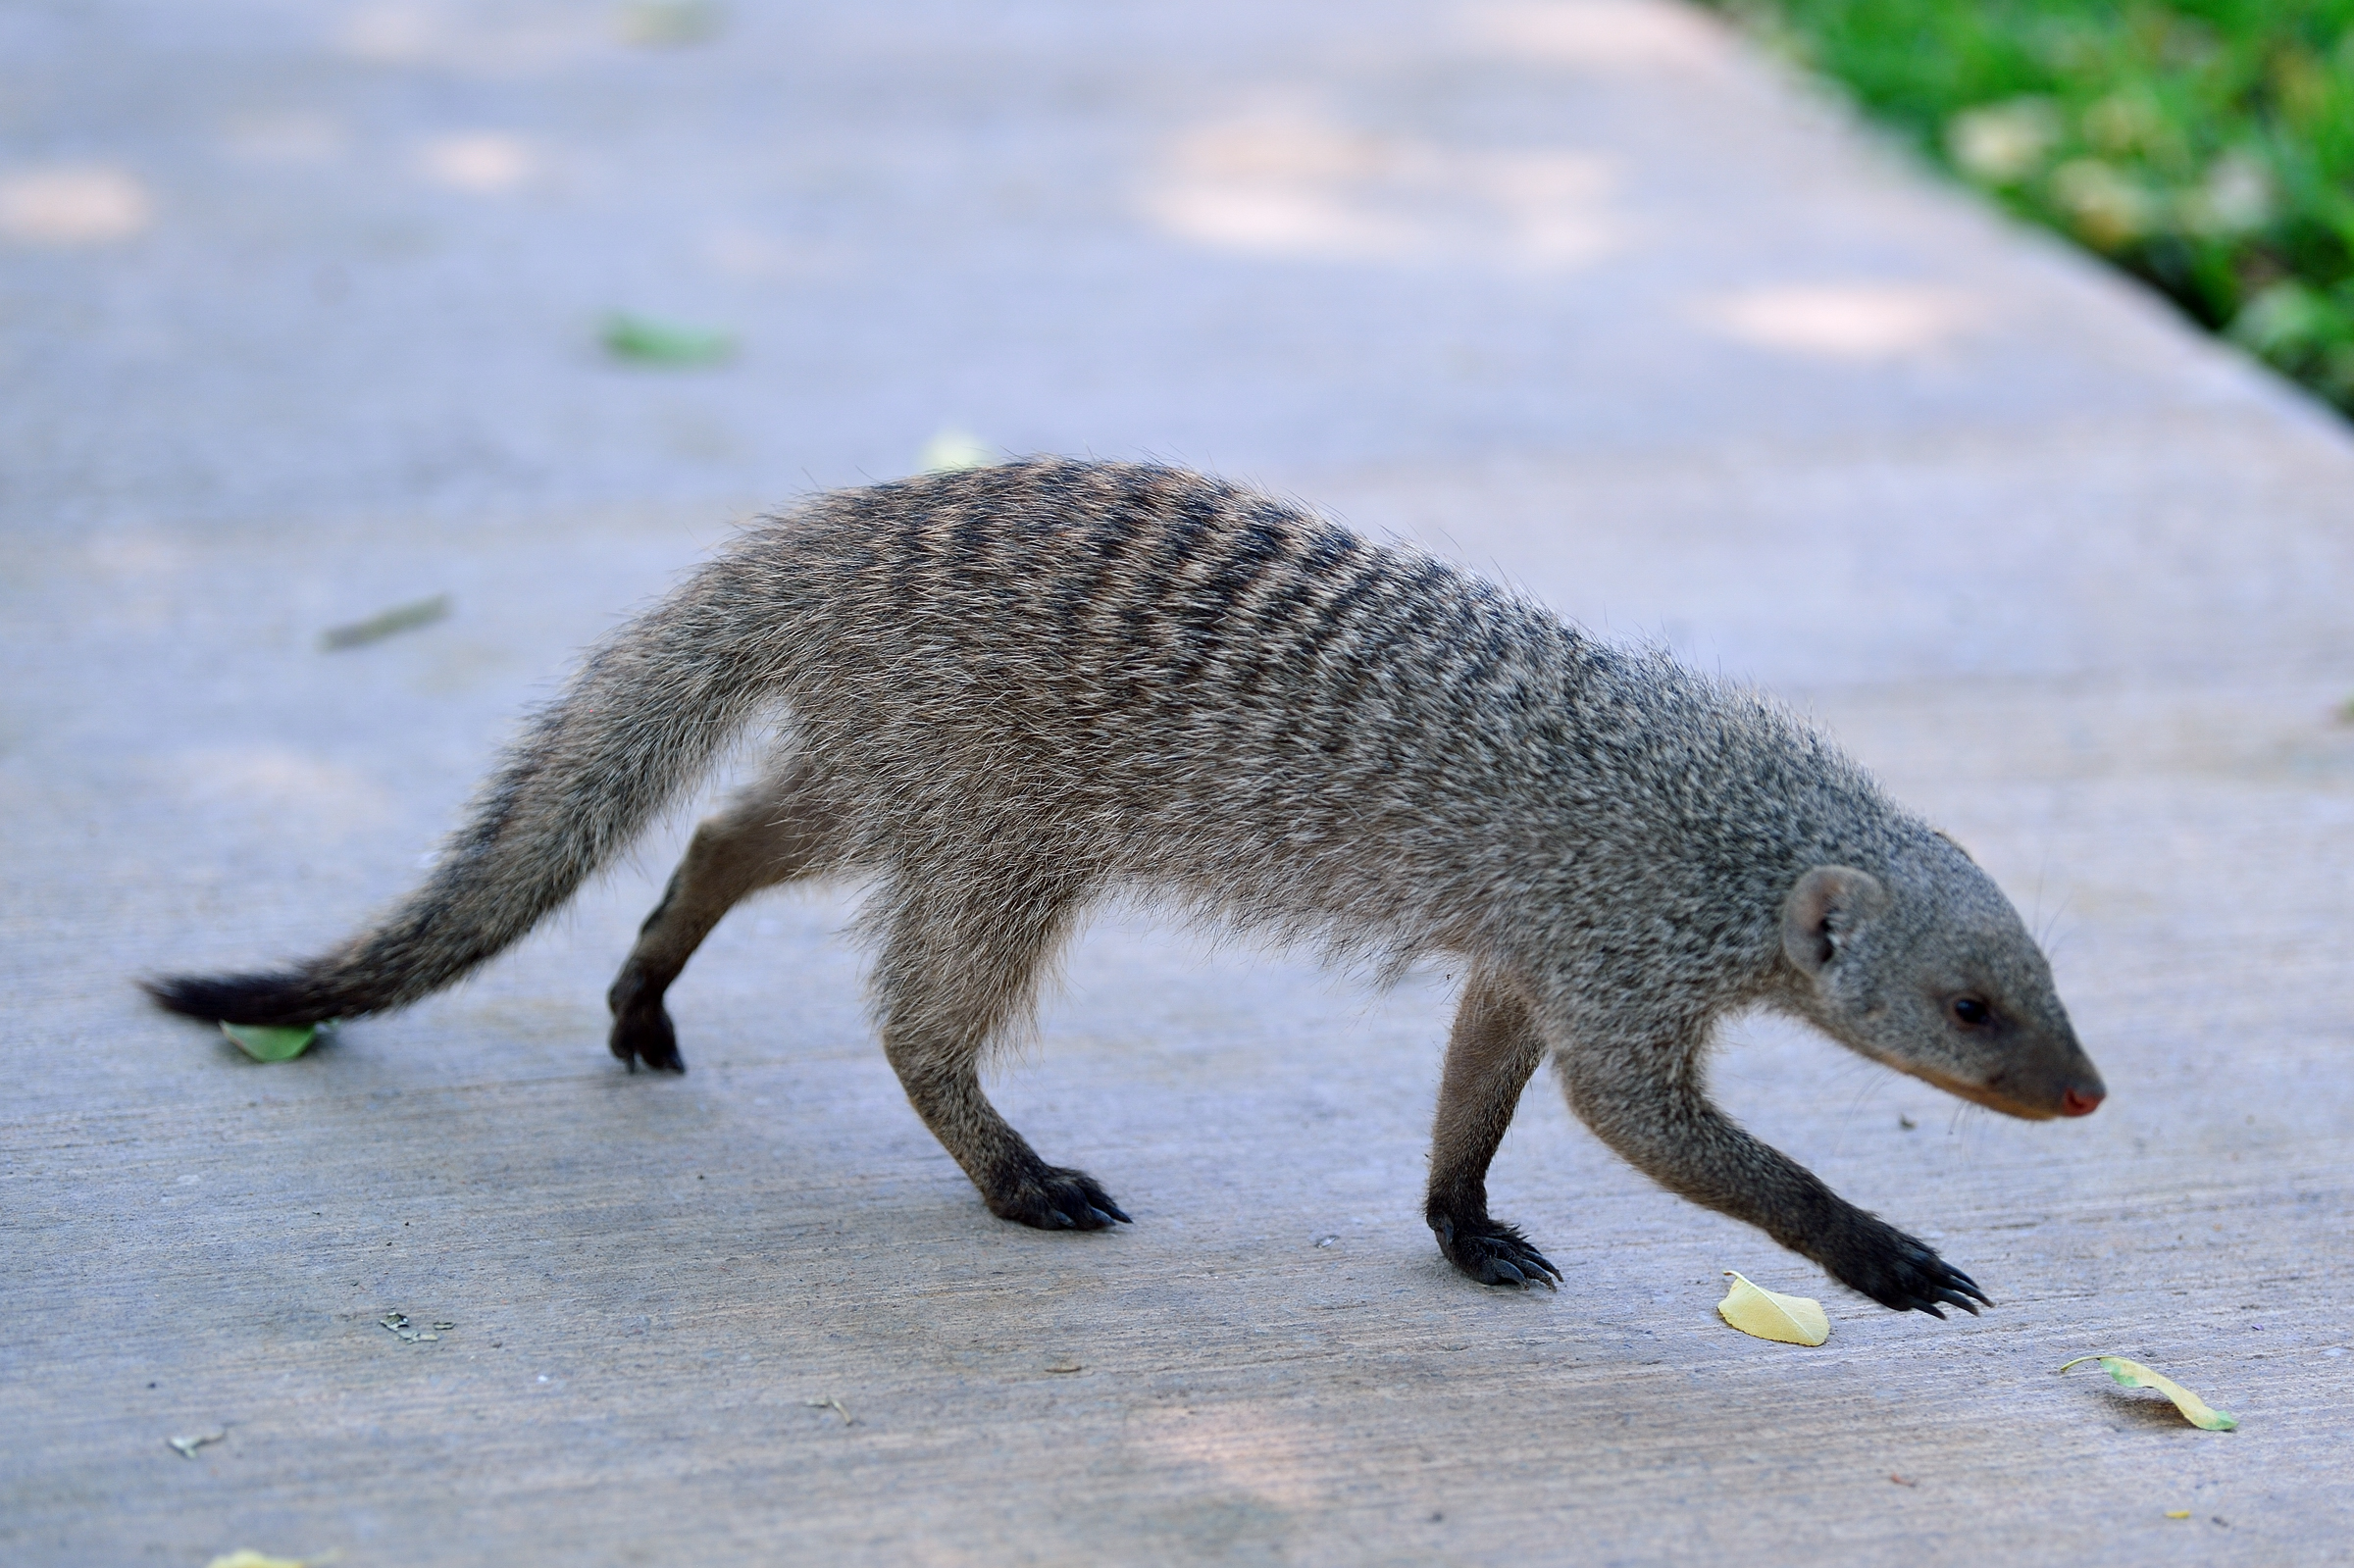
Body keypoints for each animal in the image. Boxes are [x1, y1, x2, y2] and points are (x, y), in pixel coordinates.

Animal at [148, 459, 2105, 1315]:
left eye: (2044, 980)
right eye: (1973, 1003)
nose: (2087, 1091)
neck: (1730, 823)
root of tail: (812, 535)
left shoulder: (1539, 945)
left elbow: (1483, 1074)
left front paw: (1463, 1221)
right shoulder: (1611, 944)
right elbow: (1657, 1124)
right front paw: (1886, 1251)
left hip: (911, 762)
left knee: (732, 830)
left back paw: (643, 993)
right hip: (996, 798)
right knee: (908, 1009)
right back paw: (1022, 1175)